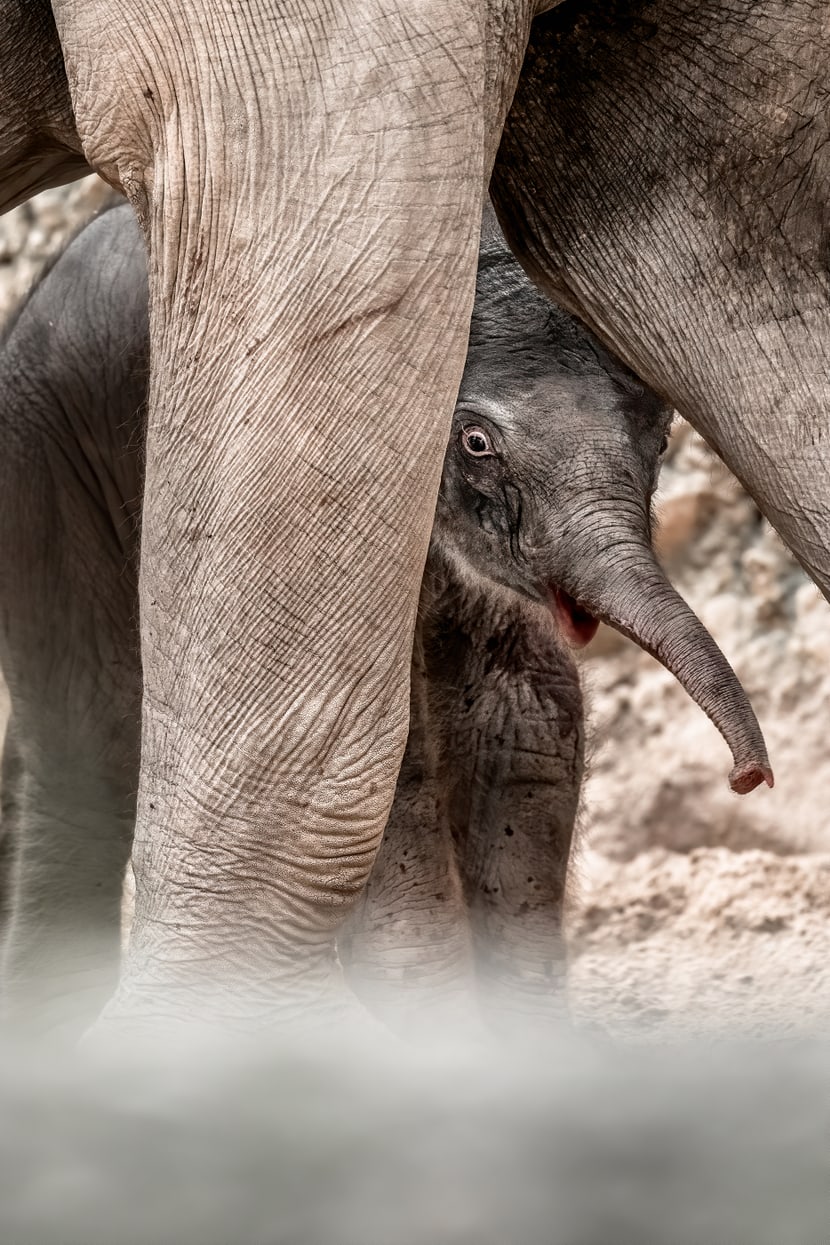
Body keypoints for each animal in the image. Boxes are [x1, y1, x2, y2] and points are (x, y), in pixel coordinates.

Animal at [0, 206, 771, 1040]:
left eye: (661, 438)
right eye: (475, 442)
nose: (747, 778)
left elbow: (529, 718)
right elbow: (372, 743)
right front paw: (430, 1036)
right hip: (41, 455)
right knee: (92, 735)